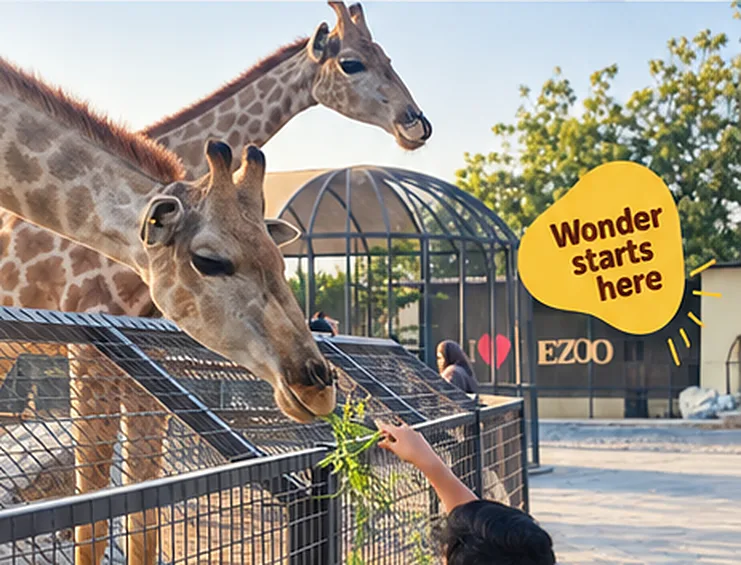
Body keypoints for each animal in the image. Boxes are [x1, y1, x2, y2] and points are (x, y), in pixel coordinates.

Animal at [0, 56, 337, 563]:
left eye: (282, 261)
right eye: (210, 260)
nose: (317, 386)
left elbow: (143, 509)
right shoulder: (89, 353)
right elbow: (92, 507)